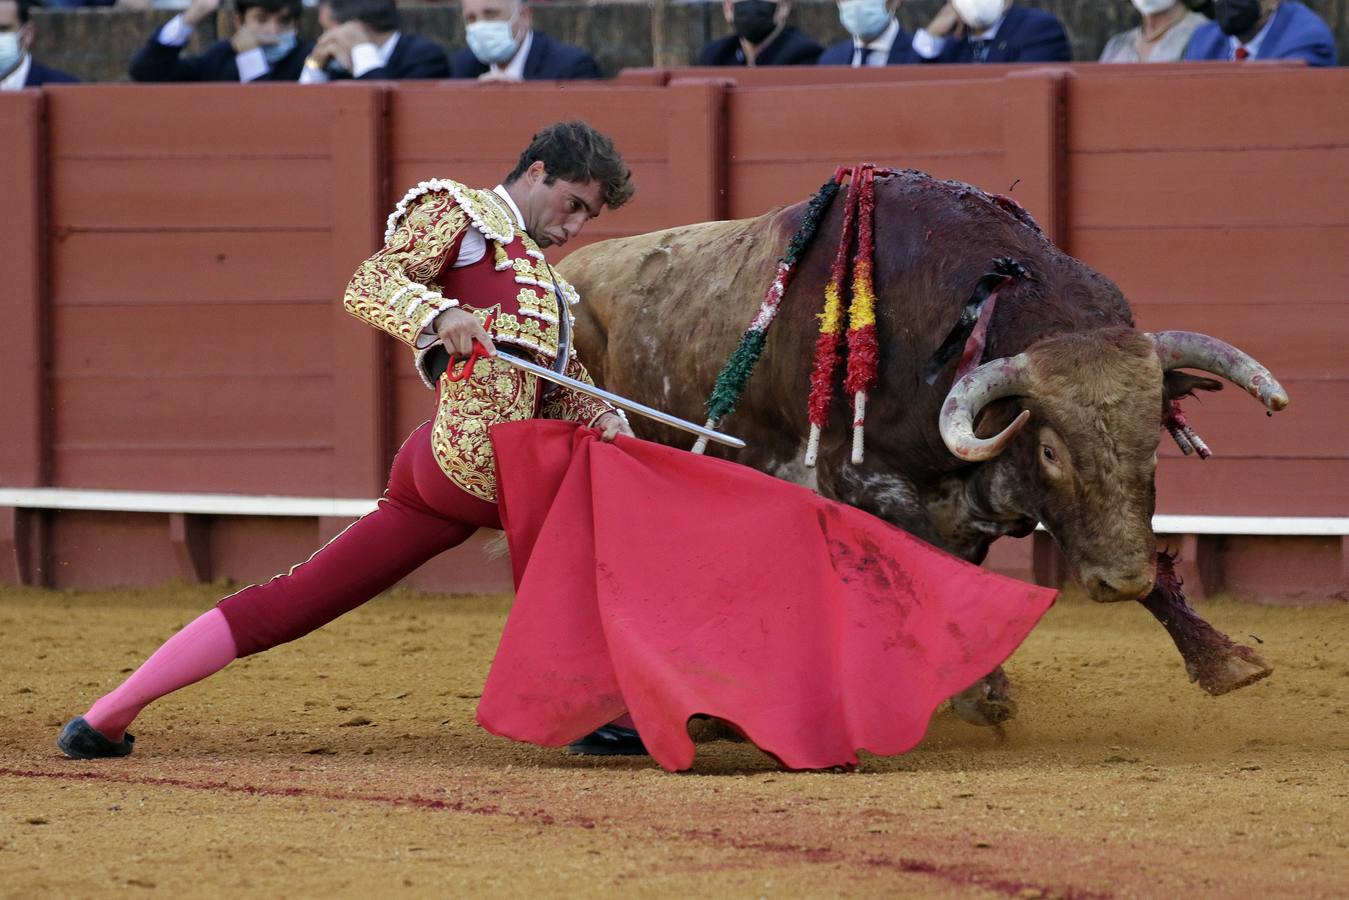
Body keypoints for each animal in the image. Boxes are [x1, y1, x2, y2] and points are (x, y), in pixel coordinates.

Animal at [561, 168, 1284, 723]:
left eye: (1152, 437)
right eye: (1050, 451)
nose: (1119, 581)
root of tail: (568, 265)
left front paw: (1224, 659)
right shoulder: (861, 481)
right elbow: (934, 565)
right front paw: (980, 689)